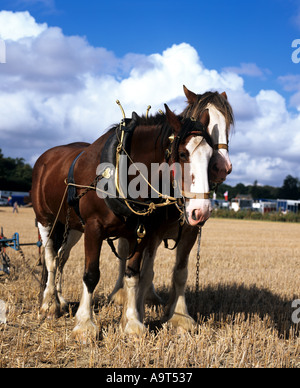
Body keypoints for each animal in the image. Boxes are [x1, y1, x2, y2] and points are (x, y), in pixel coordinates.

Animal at [31, 99, 213, 340]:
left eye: (211, 156)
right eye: (183, 154)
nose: (201, 211)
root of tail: (45, 158)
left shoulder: (141, 231)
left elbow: (132, 275)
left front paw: (133, 324)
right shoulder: (93, 228)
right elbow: (91, 274)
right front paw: (85, 324)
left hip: (72, 227)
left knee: (61, 257)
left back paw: (59, 299)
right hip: (46, 220)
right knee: (51, 258)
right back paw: (49, 304)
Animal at [110, 87, 234, 330]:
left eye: (228, 124)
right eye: (206, 125)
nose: (222, 167)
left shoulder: (190, 231)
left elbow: (180, 272)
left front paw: (179, 316)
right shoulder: (151, 231)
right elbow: (144, 270)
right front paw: (136, 312)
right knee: (125, 254)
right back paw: (121, 294)